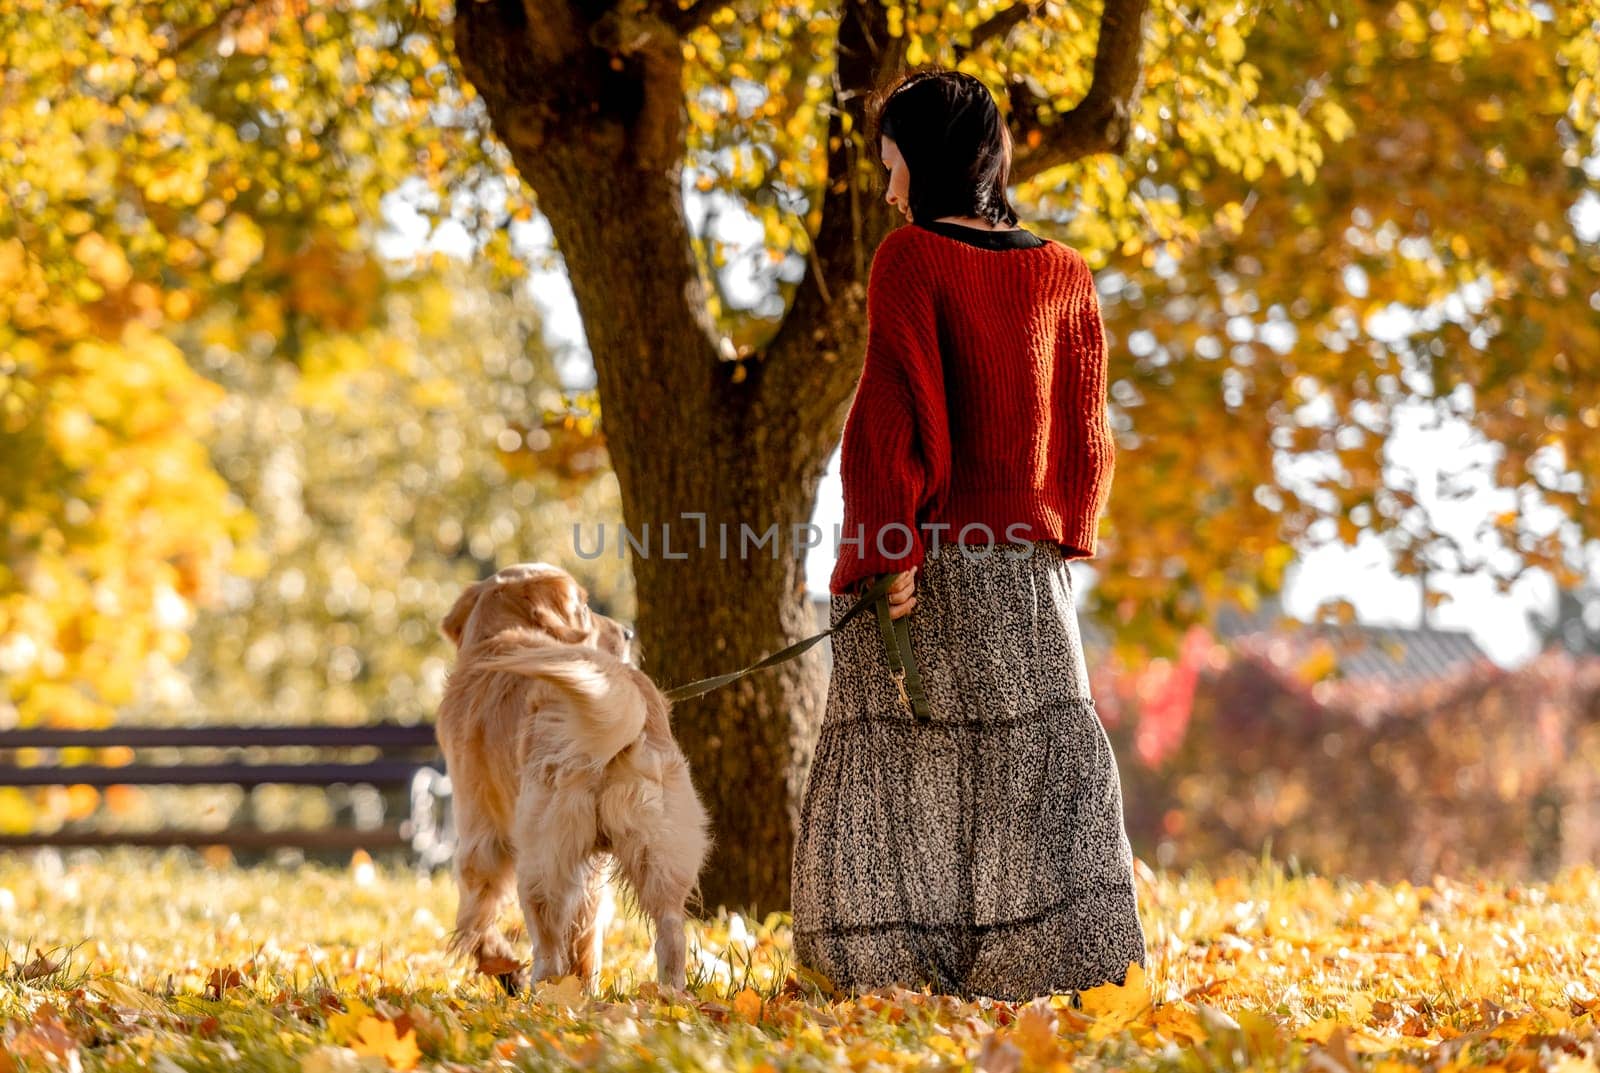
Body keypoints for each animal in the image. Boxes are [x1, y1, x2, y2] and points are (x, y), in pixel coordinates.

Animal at [438, 566, 713, 997]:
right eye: (584, 608)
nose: (628, 632)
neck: (498, 638)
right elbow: (587, 927)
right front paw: (584, 988)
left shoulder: (479, 835)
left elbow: (475, 914)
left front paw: (502, 967)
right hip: (661, 846)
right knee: (670, 930)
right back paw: (668, 996)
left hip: (539, 853)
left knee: (547, 937)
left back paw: (542, 992)